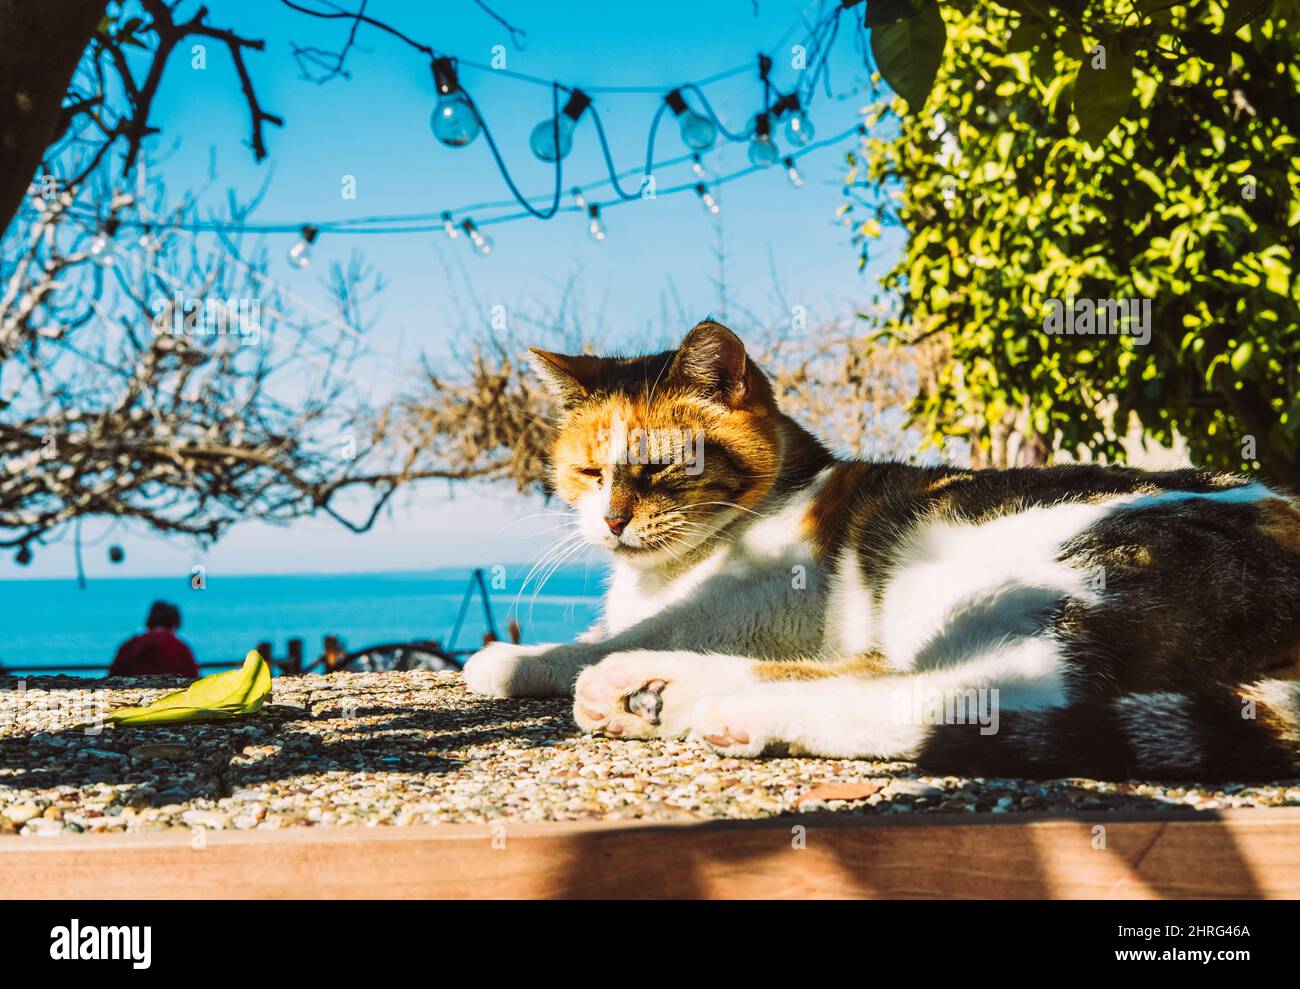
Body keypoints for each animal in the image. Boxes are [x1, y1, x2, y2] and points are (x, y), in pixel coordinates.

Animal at [465, 318, 1300, 779]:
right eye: (588, 471)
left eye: (667, 464)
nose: (610, 520)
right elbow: (622, 629)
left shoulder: (760, 604)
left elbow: (624, 631)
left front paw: (516, 658)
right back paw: (652, 690)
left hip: (1023, 578)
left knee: (982, 693)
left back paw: (716, 705)